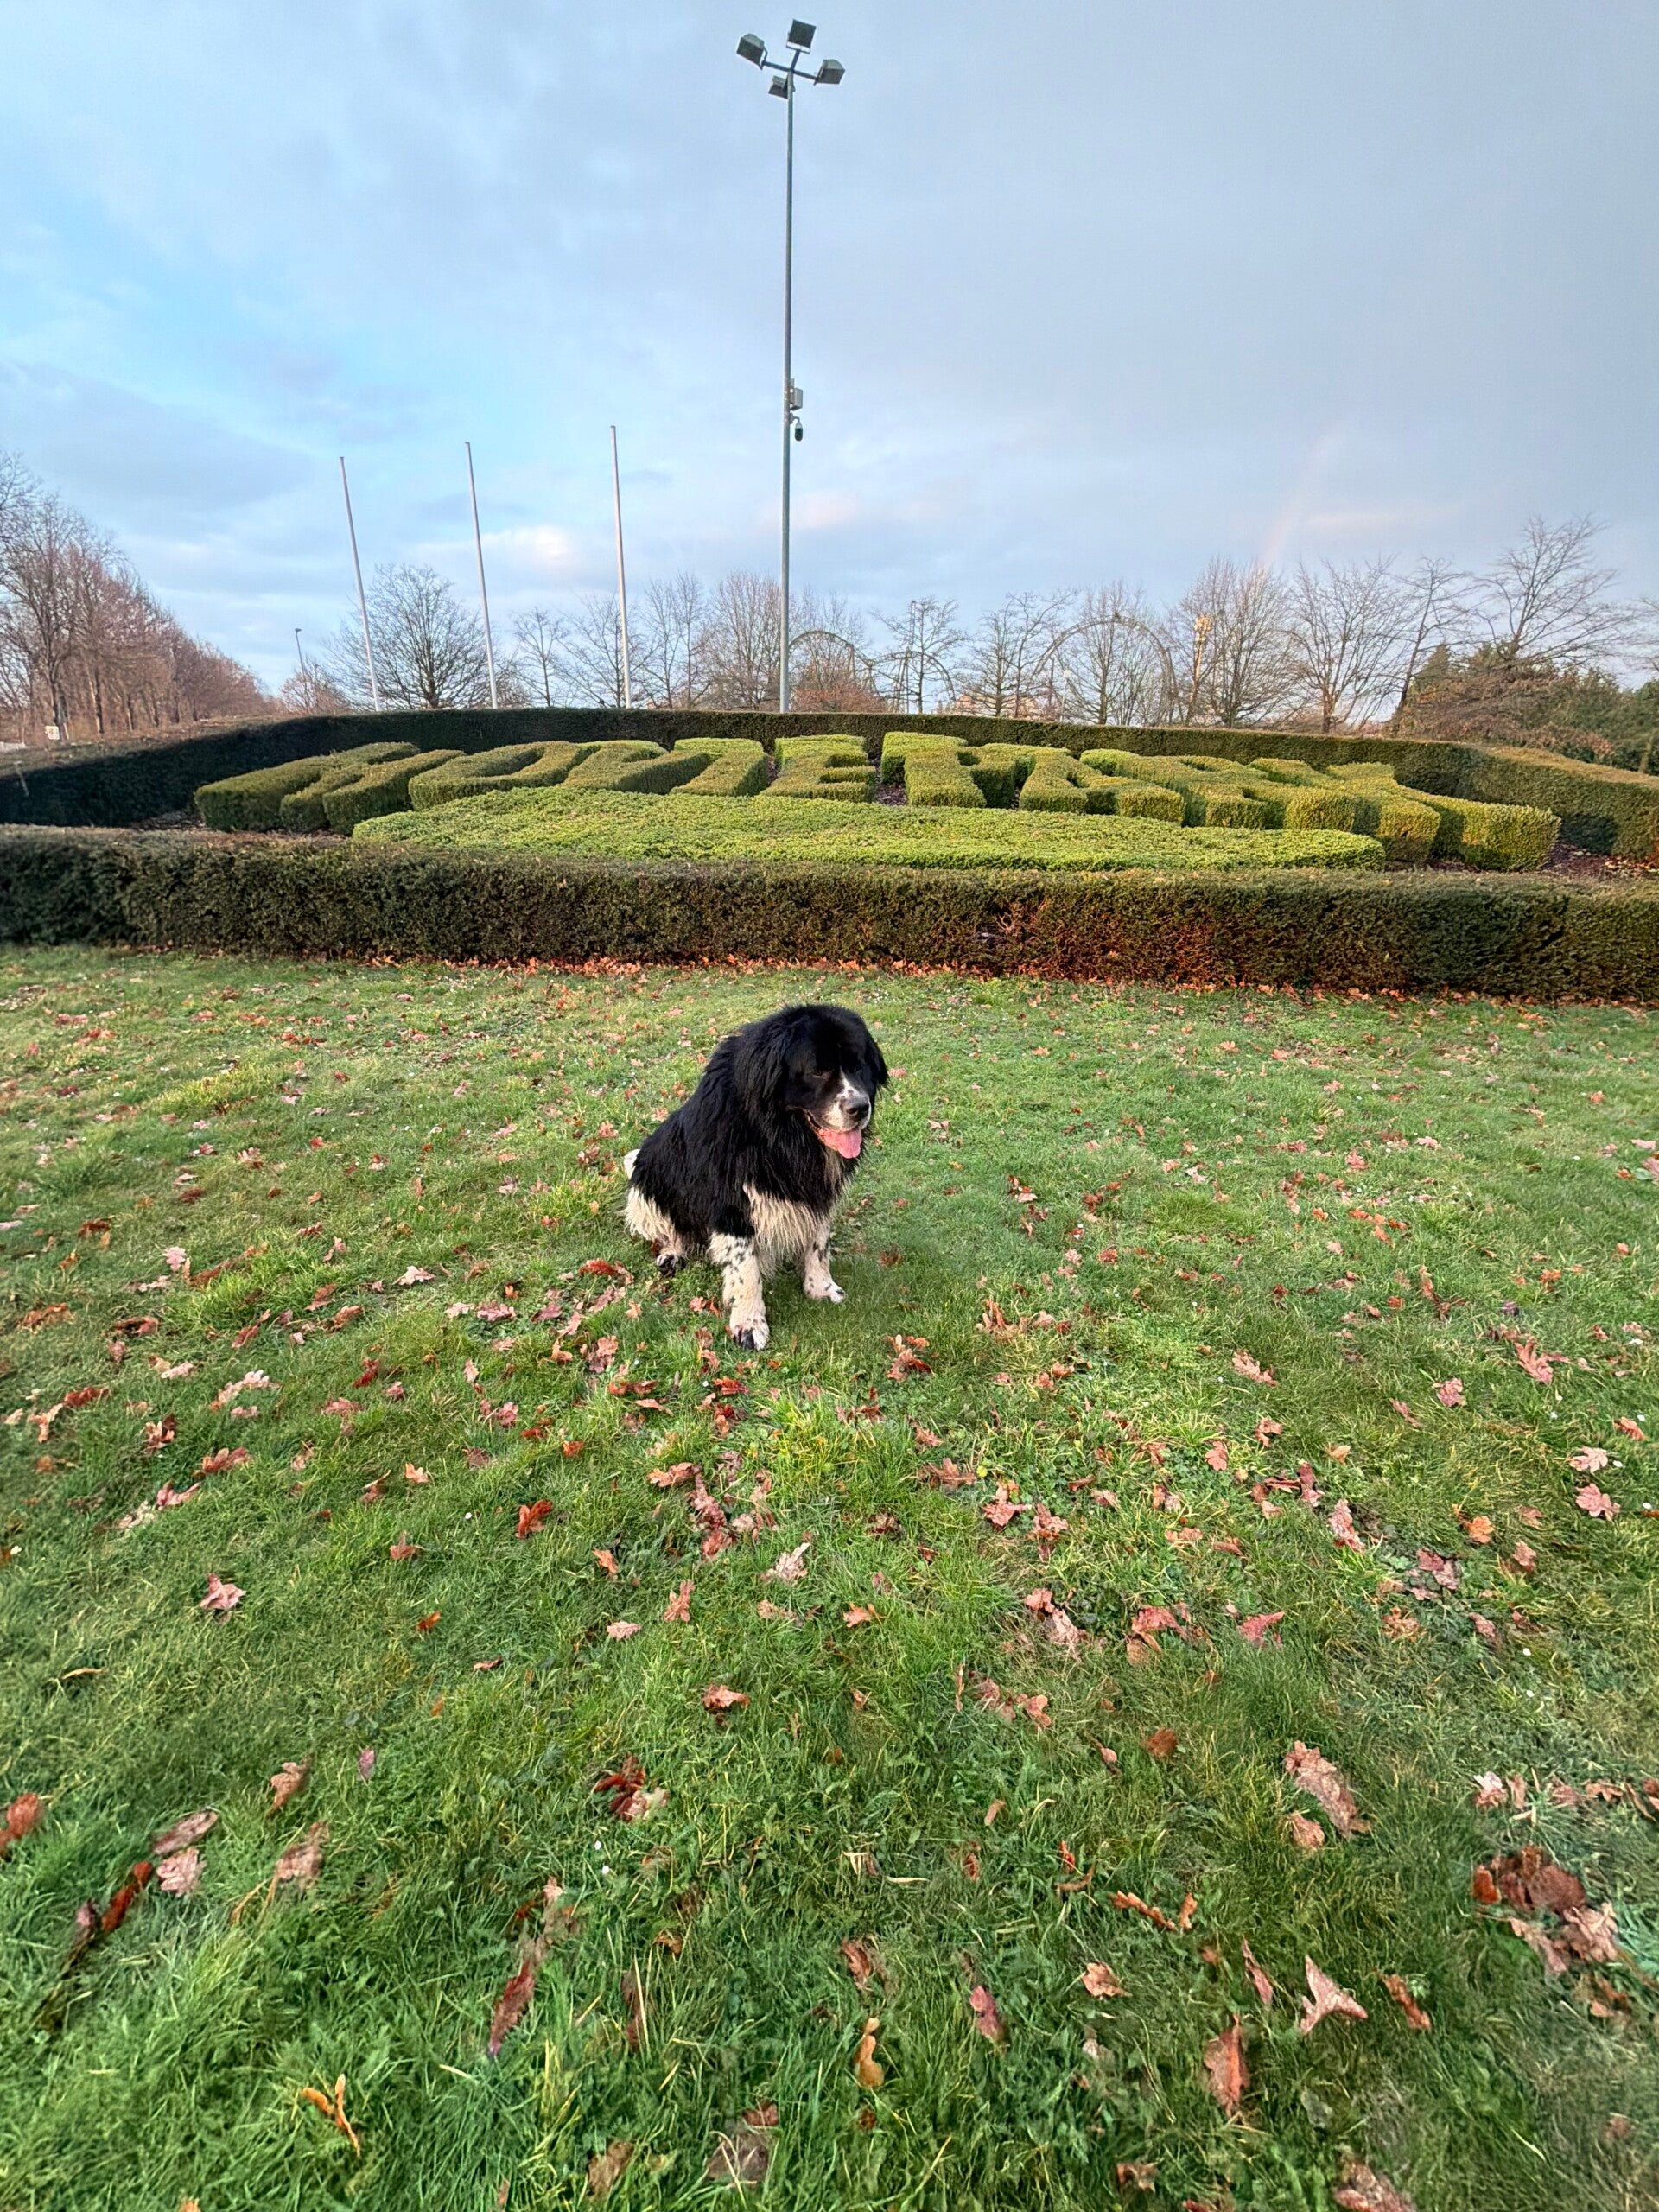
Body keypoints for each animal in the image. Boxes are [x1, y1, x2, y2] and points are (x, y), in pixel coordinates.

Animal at [622, 1003, 888, 1350]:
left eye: (859, 1066)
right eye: (817, 1071)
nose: (859, 1107)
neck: (779, 1136)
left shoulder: (818, 1190)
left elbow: (819, 1243)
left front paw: (820, 1287)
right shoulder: (731, 1201)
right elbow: (745, 1269)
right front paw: (749, 1324)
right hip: (648, 1176)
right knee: (670, 1226)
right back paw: (672, 1253)